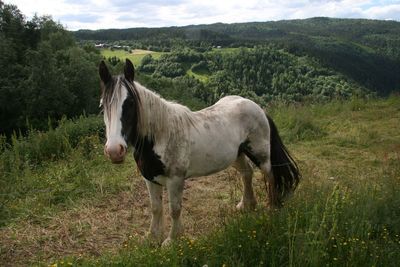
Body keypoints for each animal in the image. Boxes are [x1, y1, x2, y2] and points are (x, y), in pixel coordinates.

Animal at [99, 58, 300, 247]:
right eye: (102, 106)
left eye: (130, 103)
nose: (114, 150)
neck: (161, 136)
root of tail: (257, 107)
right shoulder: (150, 178)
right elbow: (156, 208)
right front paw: (153, 238)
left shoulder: (175, 180)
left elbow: (174, 209)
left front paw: (172, 241)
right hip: (237, 155)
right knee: (247, 173)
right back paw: (246, 205)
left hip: (261, 154)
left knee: (270, 175)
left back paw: (273, 207)